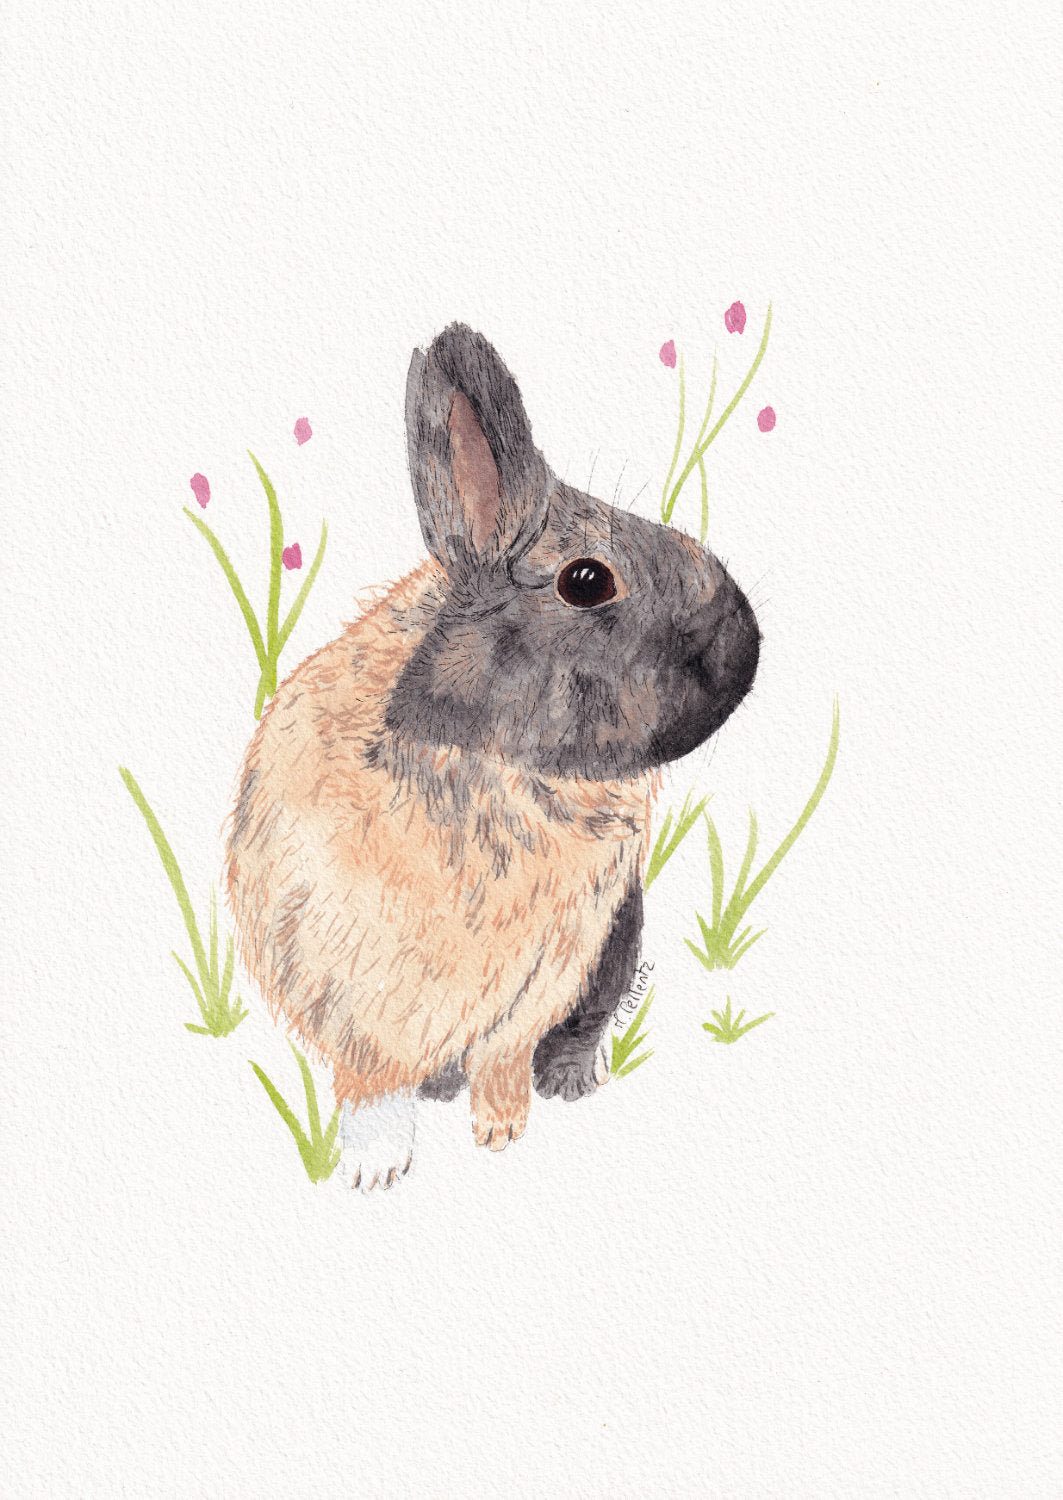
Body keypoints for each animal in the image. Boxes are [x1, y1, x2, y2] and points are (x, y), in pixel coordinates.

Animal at [225, 323, 760, 1190]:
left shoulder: (551, 972)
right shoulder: (359, 988)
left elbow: (504, 1058)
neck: (499, 762)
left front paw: (503, 1132)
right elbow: (371, 1084)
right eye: (585, 581)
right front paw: (376, 1169)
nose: (743, 650)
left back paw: (571, 1083)